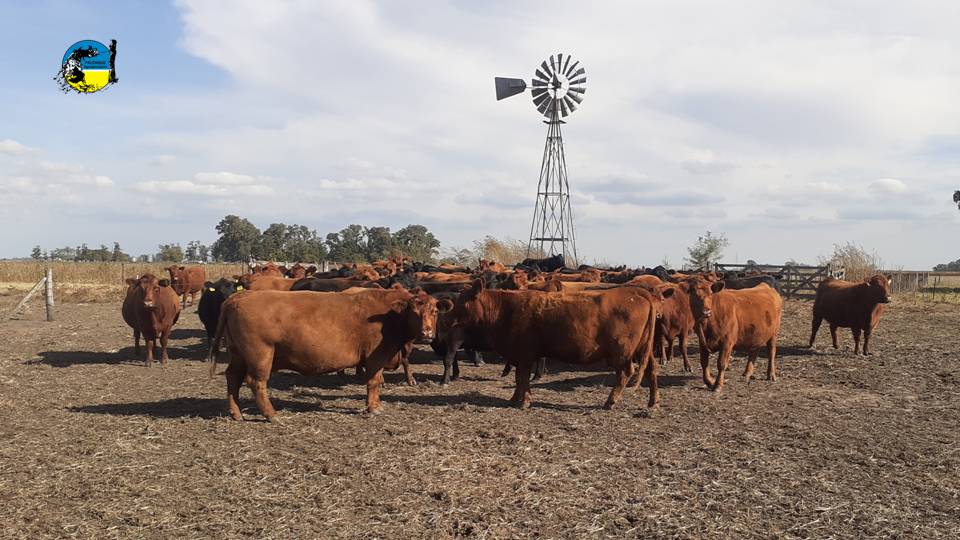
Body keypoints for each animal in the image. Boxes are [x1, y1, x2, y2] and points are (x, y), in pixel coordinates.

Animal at [208, 289, 450, 420]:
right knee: (256, 382)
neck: (389, 315)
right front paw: (373, 408)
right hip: (260, 356)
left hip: (239, 355)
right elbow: (374, 382)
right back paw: (271, 415)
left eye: (434, 311)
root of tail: (240, 296)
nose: (427, 333)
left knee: (233, 378)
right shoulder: (376, 358)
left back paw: (236, 413)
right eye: (414, 312)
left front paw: (377, 405)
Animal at [443, 280, 671, 409]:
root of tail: (638, 292)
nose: (446, 318)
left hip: (622, 351)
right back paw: (653, 402)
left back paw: (611, 401)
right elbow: (518, 379)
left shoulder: (525, 355)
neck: (507, 309)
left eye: (463, 302)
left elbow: (522, 378)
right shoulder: (521, 356)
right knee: (651, 370)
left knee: (626, 372)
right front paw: (514, 399)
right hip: (644, 349)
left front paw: (523, 402)